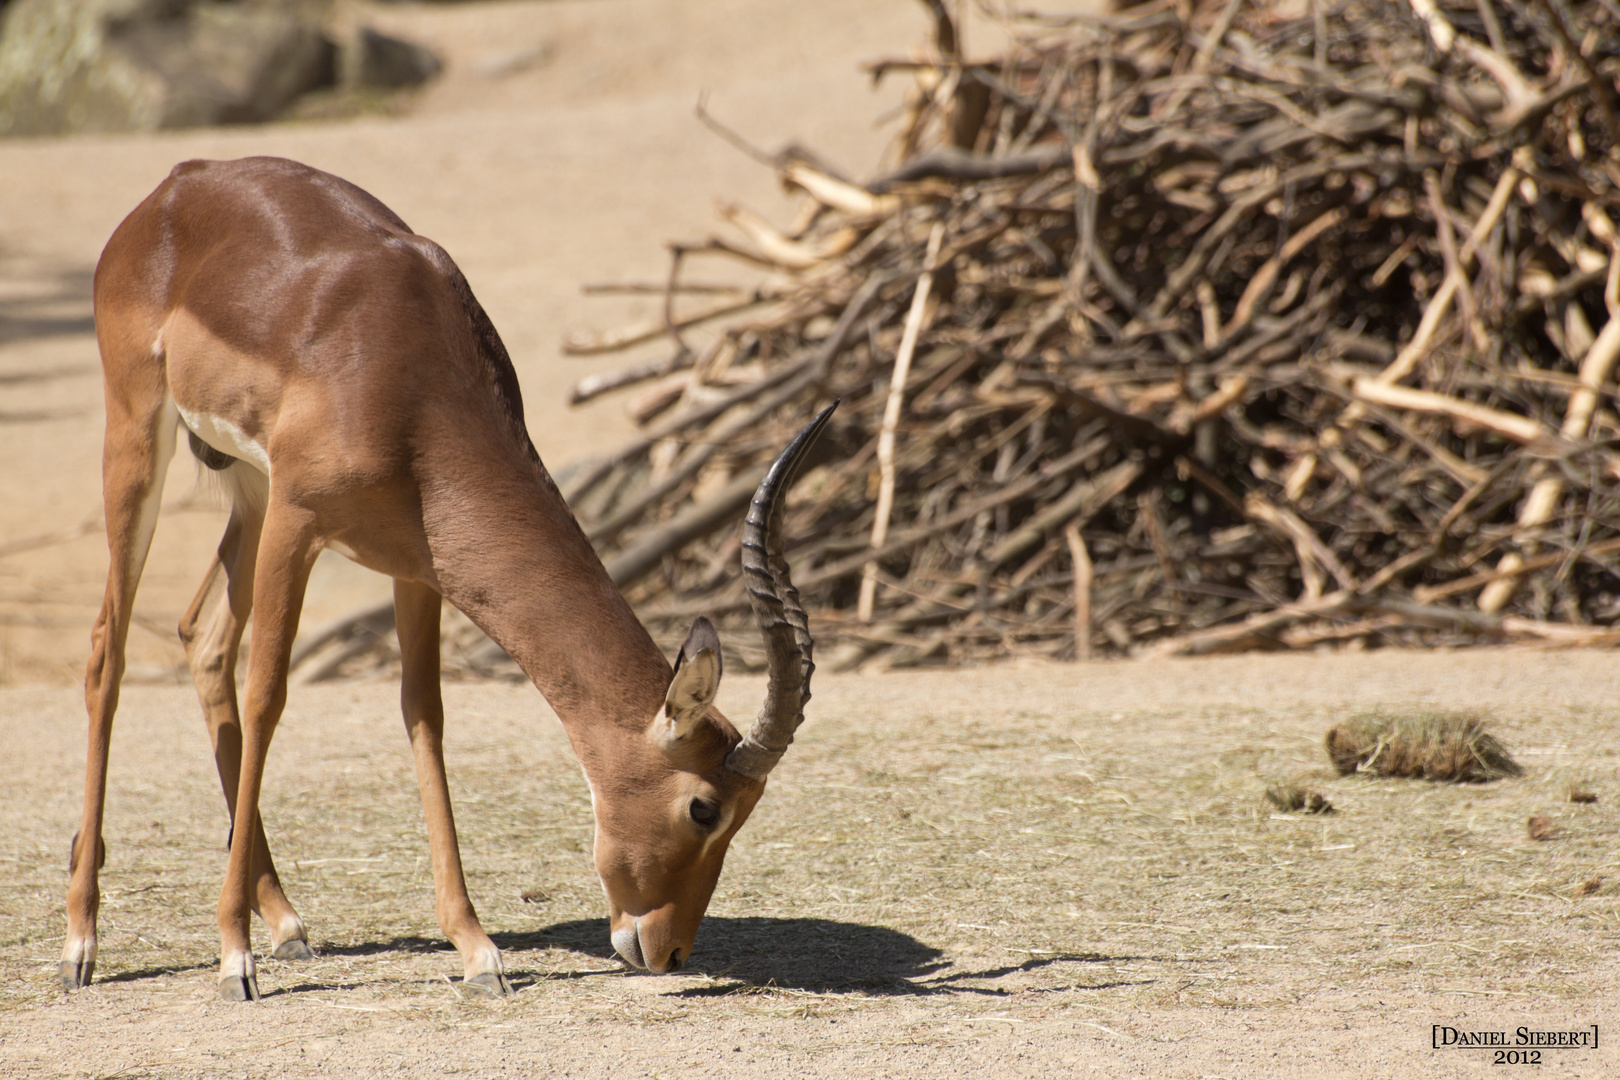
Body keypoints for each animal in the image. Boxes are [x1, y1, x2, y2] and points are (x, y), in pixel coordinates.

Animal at [63, 156, 829, 1003]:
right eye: (703, 808)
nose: (667, 950)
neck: (409, 377)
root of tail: (178, 182)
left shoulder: (419, 565)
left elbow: (423, 716)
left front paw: (476, 948)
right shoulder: (301, 521)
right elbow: (269, 697)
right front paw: (233, 957)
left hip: (247, 490)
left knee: (201, 639)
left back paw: (288, 923)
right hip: (142, 440)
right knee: (108, 653)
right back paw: (83, 943)